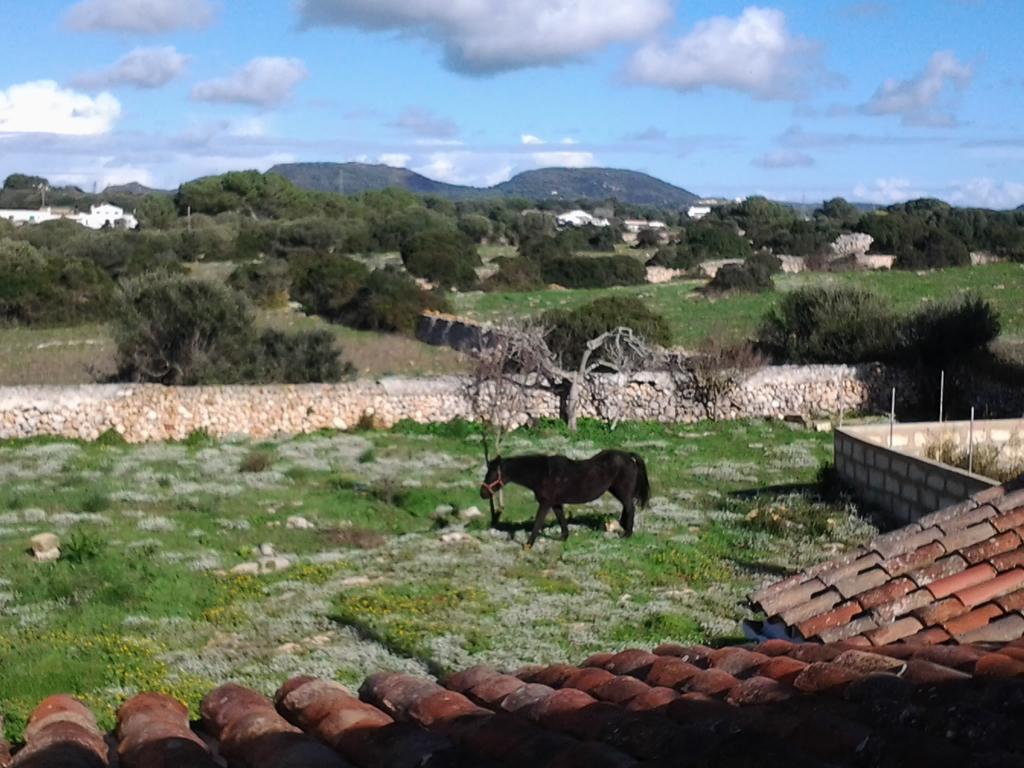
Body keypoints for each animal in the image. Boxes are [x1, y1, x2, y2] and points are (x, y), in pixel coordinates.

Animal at [479, 448, 647, 548]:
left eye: (492, 474)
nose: (482, 493)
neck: (543, 473)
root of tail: (629, 457)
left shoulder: (545, 503)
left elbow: (537, 523)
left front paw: (528, 544)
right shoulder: (556, 503)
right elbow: (561, 519)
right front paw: (563, 537)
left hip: (622, 490)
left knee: (630, 508)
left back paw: (627, 534)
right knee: (627, 507)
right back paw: (623, 527)